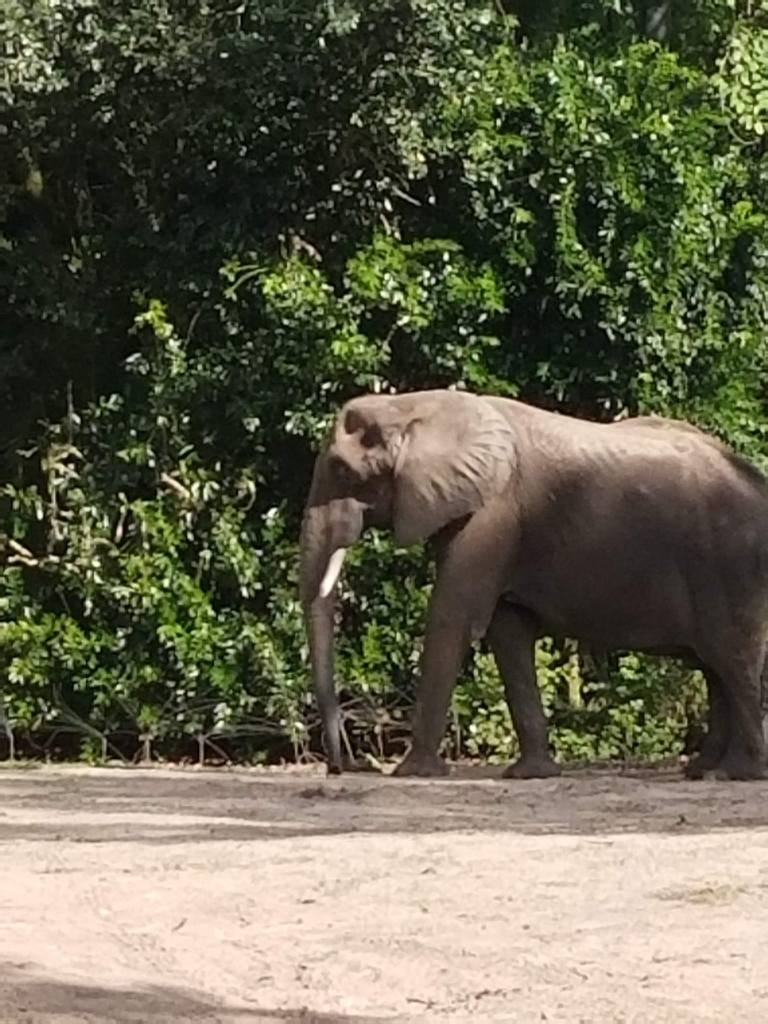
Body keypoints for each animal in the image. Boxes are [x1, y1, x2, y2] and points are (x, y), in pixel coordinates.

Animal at [299, 388, 768, 781]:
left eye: (341, 470)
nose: (347, 766)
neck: (414, 405)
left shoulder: (494, 514)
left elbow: (453, 616)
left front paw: (413, 773)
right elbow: (508, 633)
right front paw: (530, 774)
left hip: (729, 565)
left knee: (732, 661)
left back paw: (737, 774)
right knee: (716, 667)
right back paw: (705, 771)